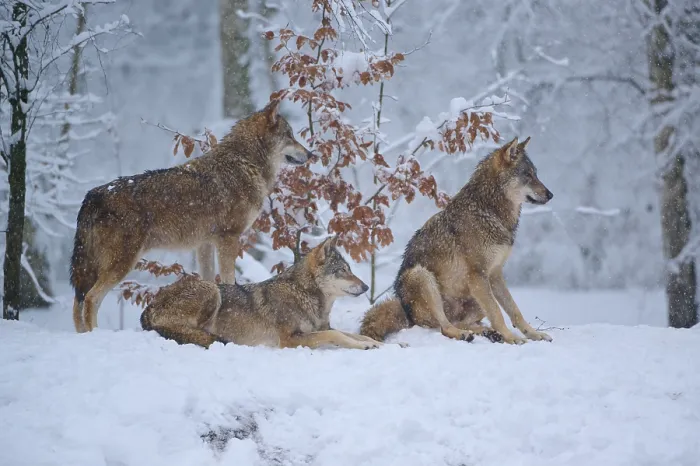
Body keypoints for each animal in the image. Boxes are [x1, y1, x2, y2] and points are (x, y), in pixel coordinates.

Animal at [70, 101, 312, 333]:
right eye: (290, 135)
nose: (310, 154)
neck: (244, 163)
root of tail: (92, 196)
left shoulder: (204, 244)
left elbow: (209, 281)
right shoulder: (228, 238)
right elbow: (228, 280)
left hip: (93, 267)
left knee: (77, 302)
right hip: (121, 263)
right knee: (90, 299)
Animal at [140, 236, 396, 350]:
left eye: (349, 269)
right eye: (342, 271)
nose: (365, 287)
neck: (304, 295)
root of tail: (149, 306)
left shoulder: (320, 328)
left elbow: (355, 335)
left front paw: (384, 344)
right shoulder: (290, 339)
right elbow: (337, 335)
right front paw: (366, 346)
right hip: (212, 290)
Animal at [360, 136, 554, 345]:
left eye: (535, 174)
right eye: (527, 174)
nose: (550, 194)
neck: (489, 211)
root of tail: (407, 314)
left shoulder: (494, 274)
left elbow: (514, 310)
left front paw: (533, 334)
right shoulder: (478, 275)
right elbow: (497, 313)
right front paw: (512, 338)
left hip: (476, 297)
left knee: (463, 323)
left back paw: (488, 333)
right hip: (422, 276)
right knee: (444, 327)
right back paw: (468, 334)